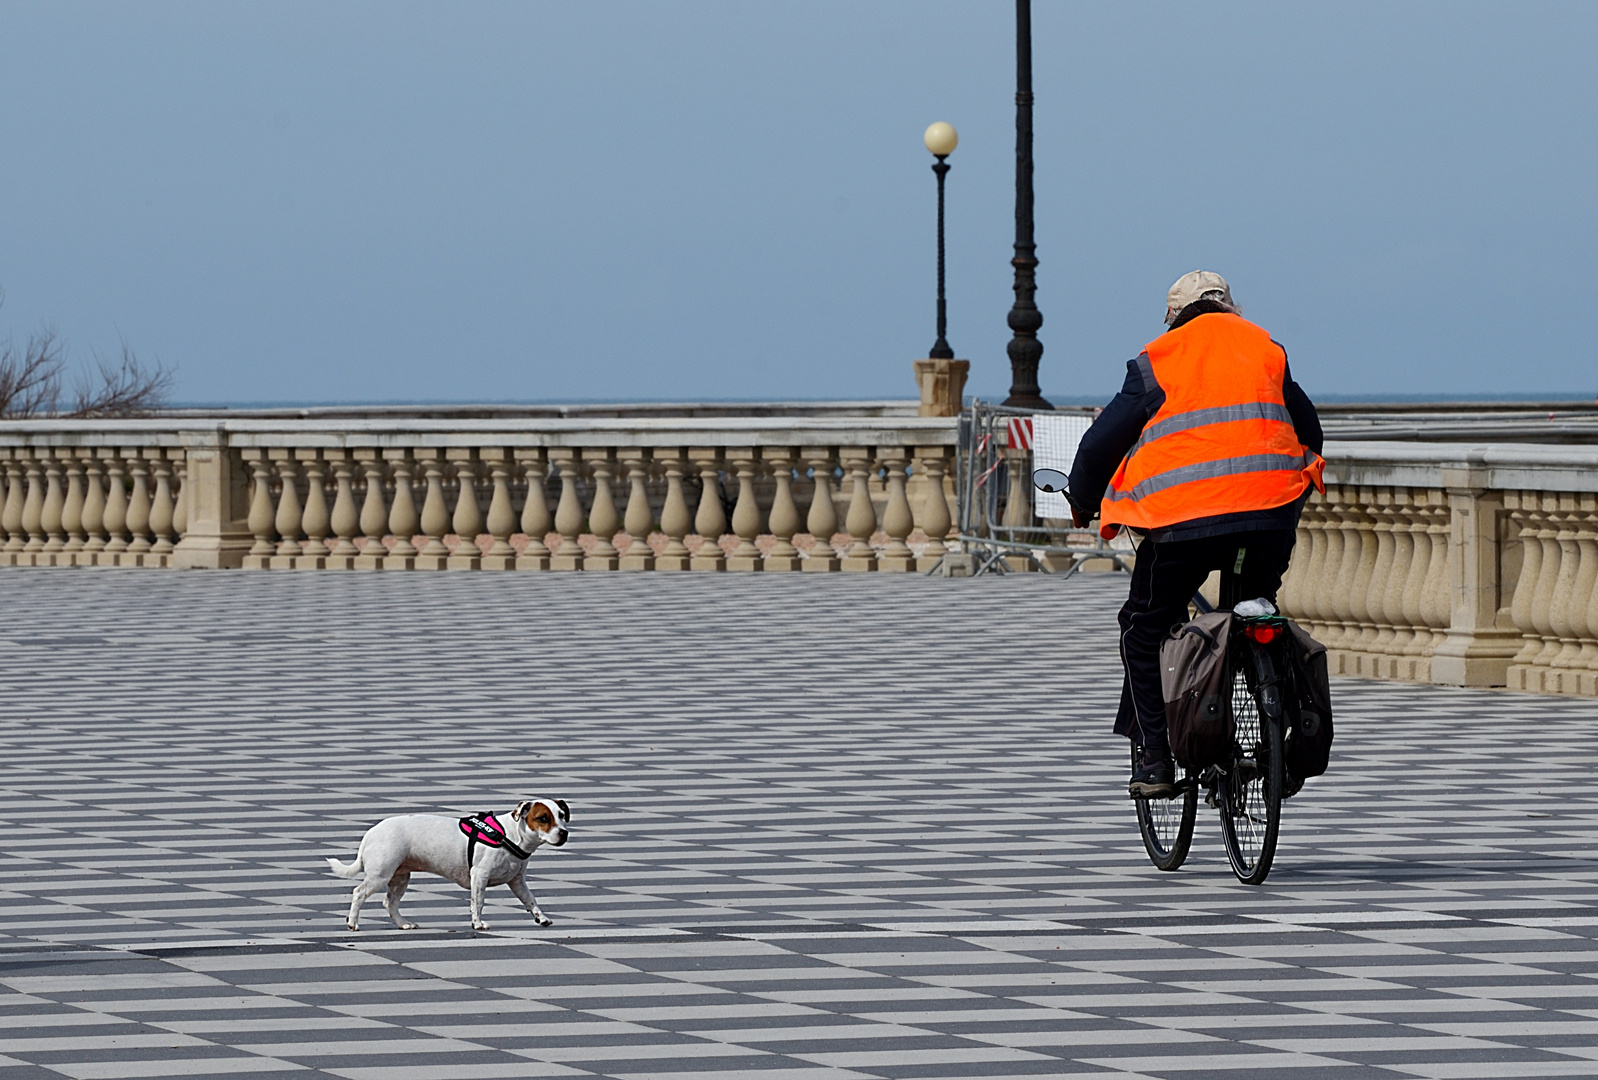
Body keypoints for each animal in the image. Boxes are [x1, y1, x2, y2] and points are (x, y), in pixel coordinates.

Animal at [327, 798, 572, 933]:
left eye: (562, 815)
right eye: (543, 818)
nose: (564, 833)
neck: (509, 836)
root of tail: (371, 832)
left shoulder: (517, 881)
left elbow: (531, 900)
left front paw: (541, 918)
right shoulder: (479, 876)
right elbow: (478, 903)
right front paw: (478, 924)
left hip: (400, 878)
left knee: (390, 903)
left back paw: (403, 924)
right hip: (380, 875)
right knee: (358, 893)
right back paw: (353, 923)